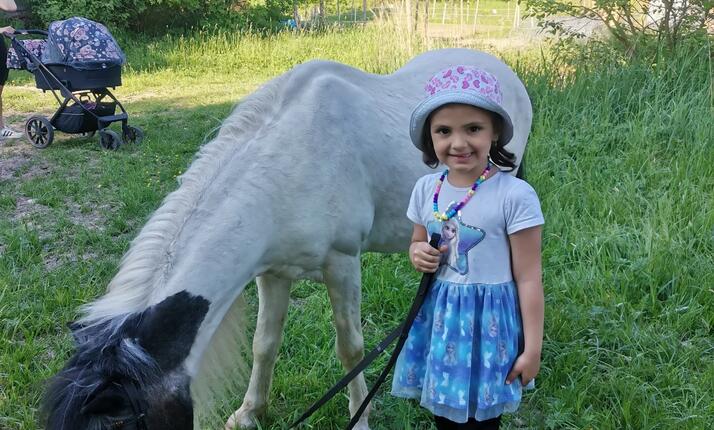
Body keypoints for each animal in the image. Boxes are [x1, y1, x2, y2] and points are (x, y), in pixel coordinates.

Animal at [40, 48, 528, 428]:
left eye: (120, 423)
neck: (289, 164)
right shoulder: (272, 273)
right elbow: (264, 345)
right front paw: (248, 414)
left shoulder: (342, 264)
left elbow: (350, 348)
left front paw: (361, 417)